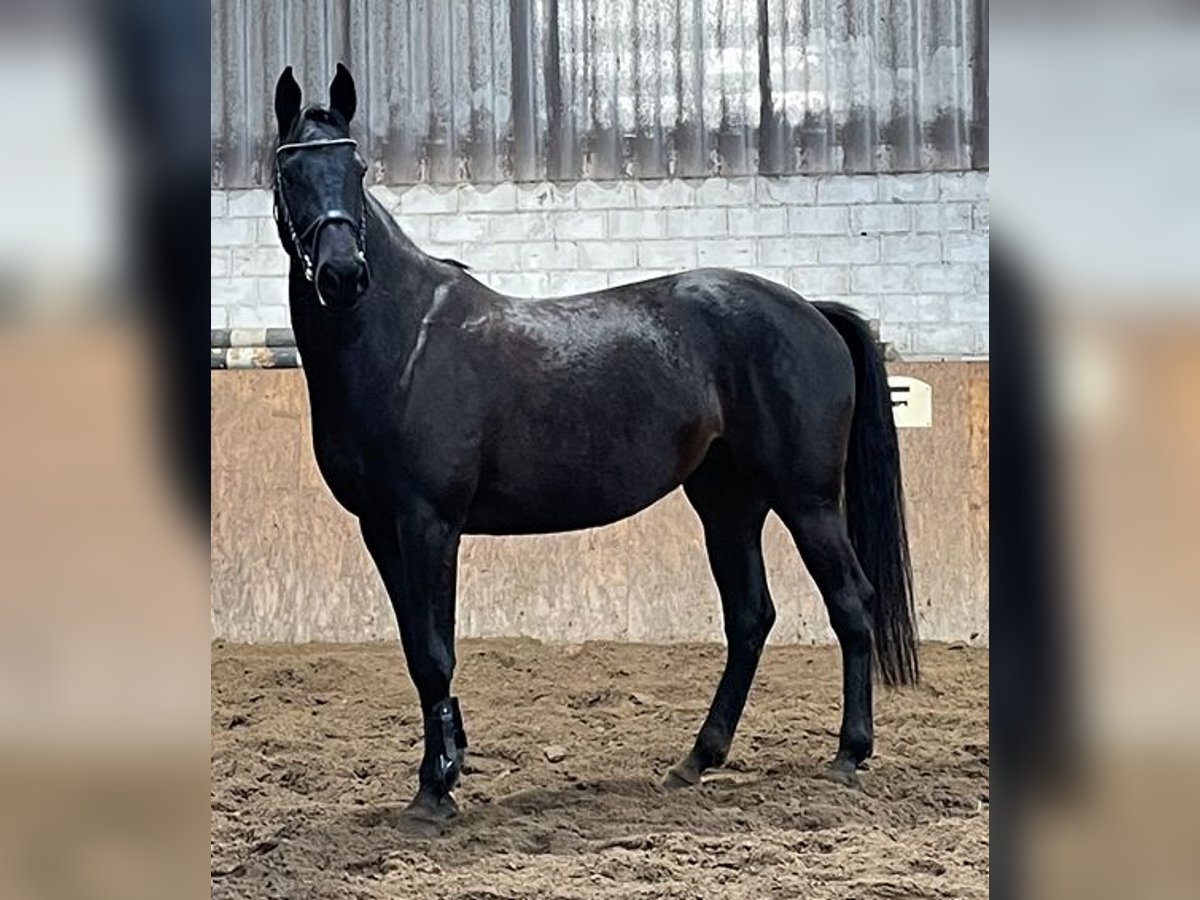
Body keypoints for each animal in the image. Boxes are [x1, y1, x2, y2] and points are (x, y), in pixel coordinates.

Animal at [272, 66, 916, 830]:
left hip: (806, 500)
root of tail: (812, 311)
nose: (343, 275)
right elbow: (416, 648)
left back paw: (848, 753)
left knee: (850, 601)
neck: (402, 340)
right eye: (291, 172)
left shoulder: (429, 523)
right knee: (751, 616)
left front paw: (434, 791)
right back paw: (697, 760)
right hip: (728, 502)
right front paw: (449, 763)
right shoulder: (380, 527)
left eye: (357, 167)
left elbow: (433, 651)